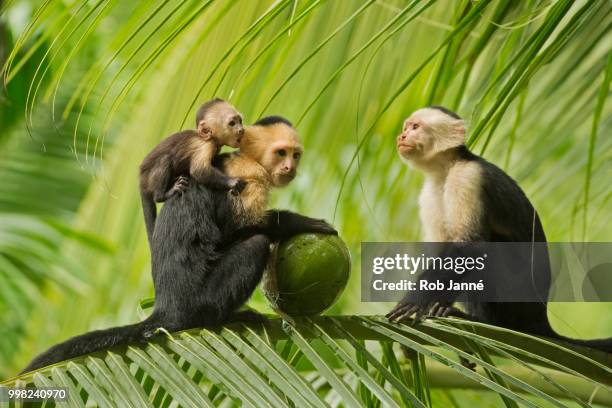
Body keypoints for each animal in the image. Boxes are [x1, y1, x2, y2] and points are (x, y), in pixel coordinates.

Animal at [21, 116, 338, 374]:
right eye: (281, 152)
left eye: (295, 155)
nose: (290, 167)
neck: (250, 159)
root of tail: (166, 307)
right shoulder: (248, 177)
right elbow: (232, 231)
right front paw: (303, 223)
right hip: (201, 299)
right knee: (255, 245)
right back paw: (223, 317)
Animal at [139, 97, 246, 247]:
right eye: (232, 123)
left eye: (240, 120)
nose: (241, 129)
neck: (210, 139)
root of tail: (141, 179)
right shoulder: (205, 147)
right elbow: (199, 171)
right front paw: (233, 182)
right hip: (150, 177)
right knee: (165, 160)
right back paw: (163, 194)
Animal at [388, 106, 612, 354]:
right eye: (406, 127)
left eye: (415, 127)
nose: (401, 136)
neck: (446, 169)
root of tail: (540, 318)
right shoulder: (428, 193)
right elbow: (443, 251)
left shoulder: (467, 178)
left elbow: (469, 247)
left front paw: (416, 300)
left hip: (517, 300)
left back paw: (488, 323)